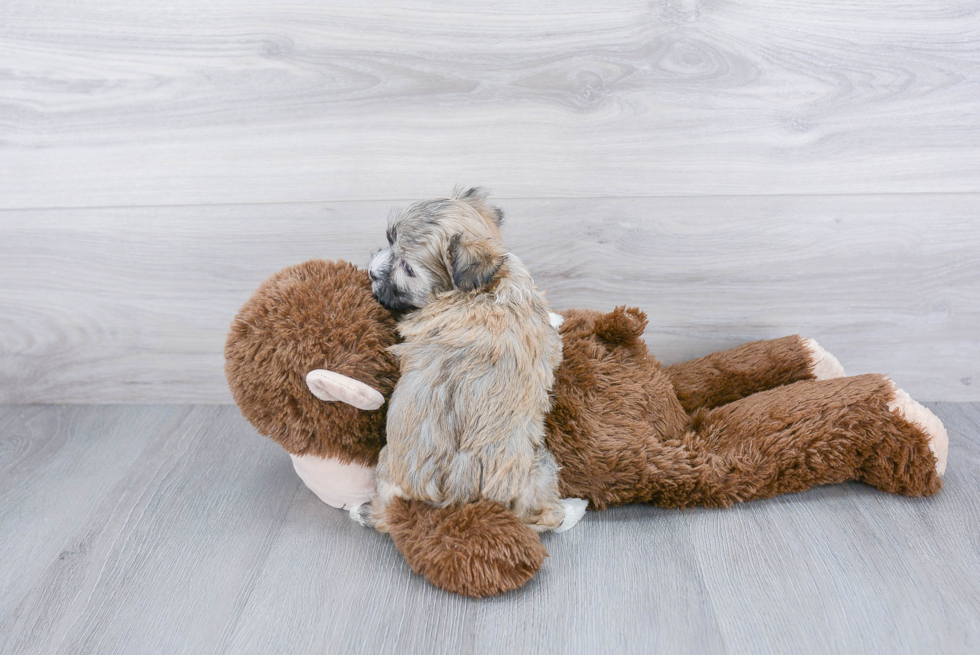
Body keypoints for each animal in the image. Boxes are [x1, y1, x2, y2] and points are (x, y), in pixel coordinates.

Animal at [362, 187, 584, 536]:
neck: (483, 288)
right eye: (389, 239)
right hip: (535, 464)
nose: (371, 272)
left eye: (407, 269)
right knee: (542, 516)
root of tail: (454, 493)